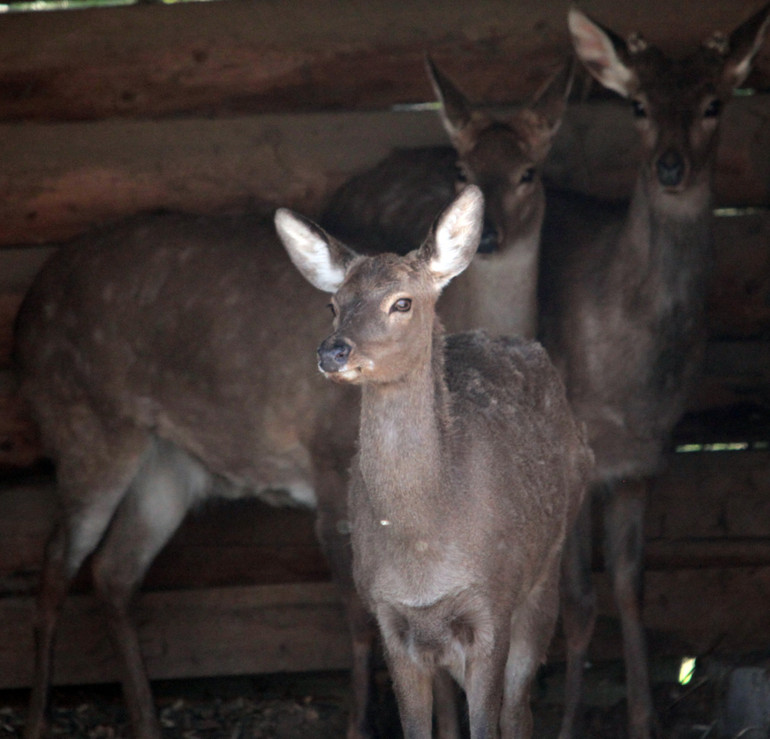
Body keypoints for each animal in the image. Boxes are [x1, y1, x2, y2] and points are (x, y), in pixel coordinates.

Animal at [276, 185, 588, 739]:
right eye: (333, 304)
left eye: (402, 302)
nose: (332, 352)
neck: (423, 554)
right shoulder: (389, 615)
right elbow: (417, 725)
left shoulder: (491, 601)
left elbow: (490, 719)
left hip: (546, 571)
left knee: (519, 707)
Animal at [536, 5, 770, 739]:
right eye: (637, 105)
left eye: (713, 102)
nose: (671, 166)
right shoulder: (571, 450)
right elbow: (580, 599)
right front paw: (567, 725)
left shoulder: (643, 461)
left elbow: (632, 586)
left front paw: (645, 719)